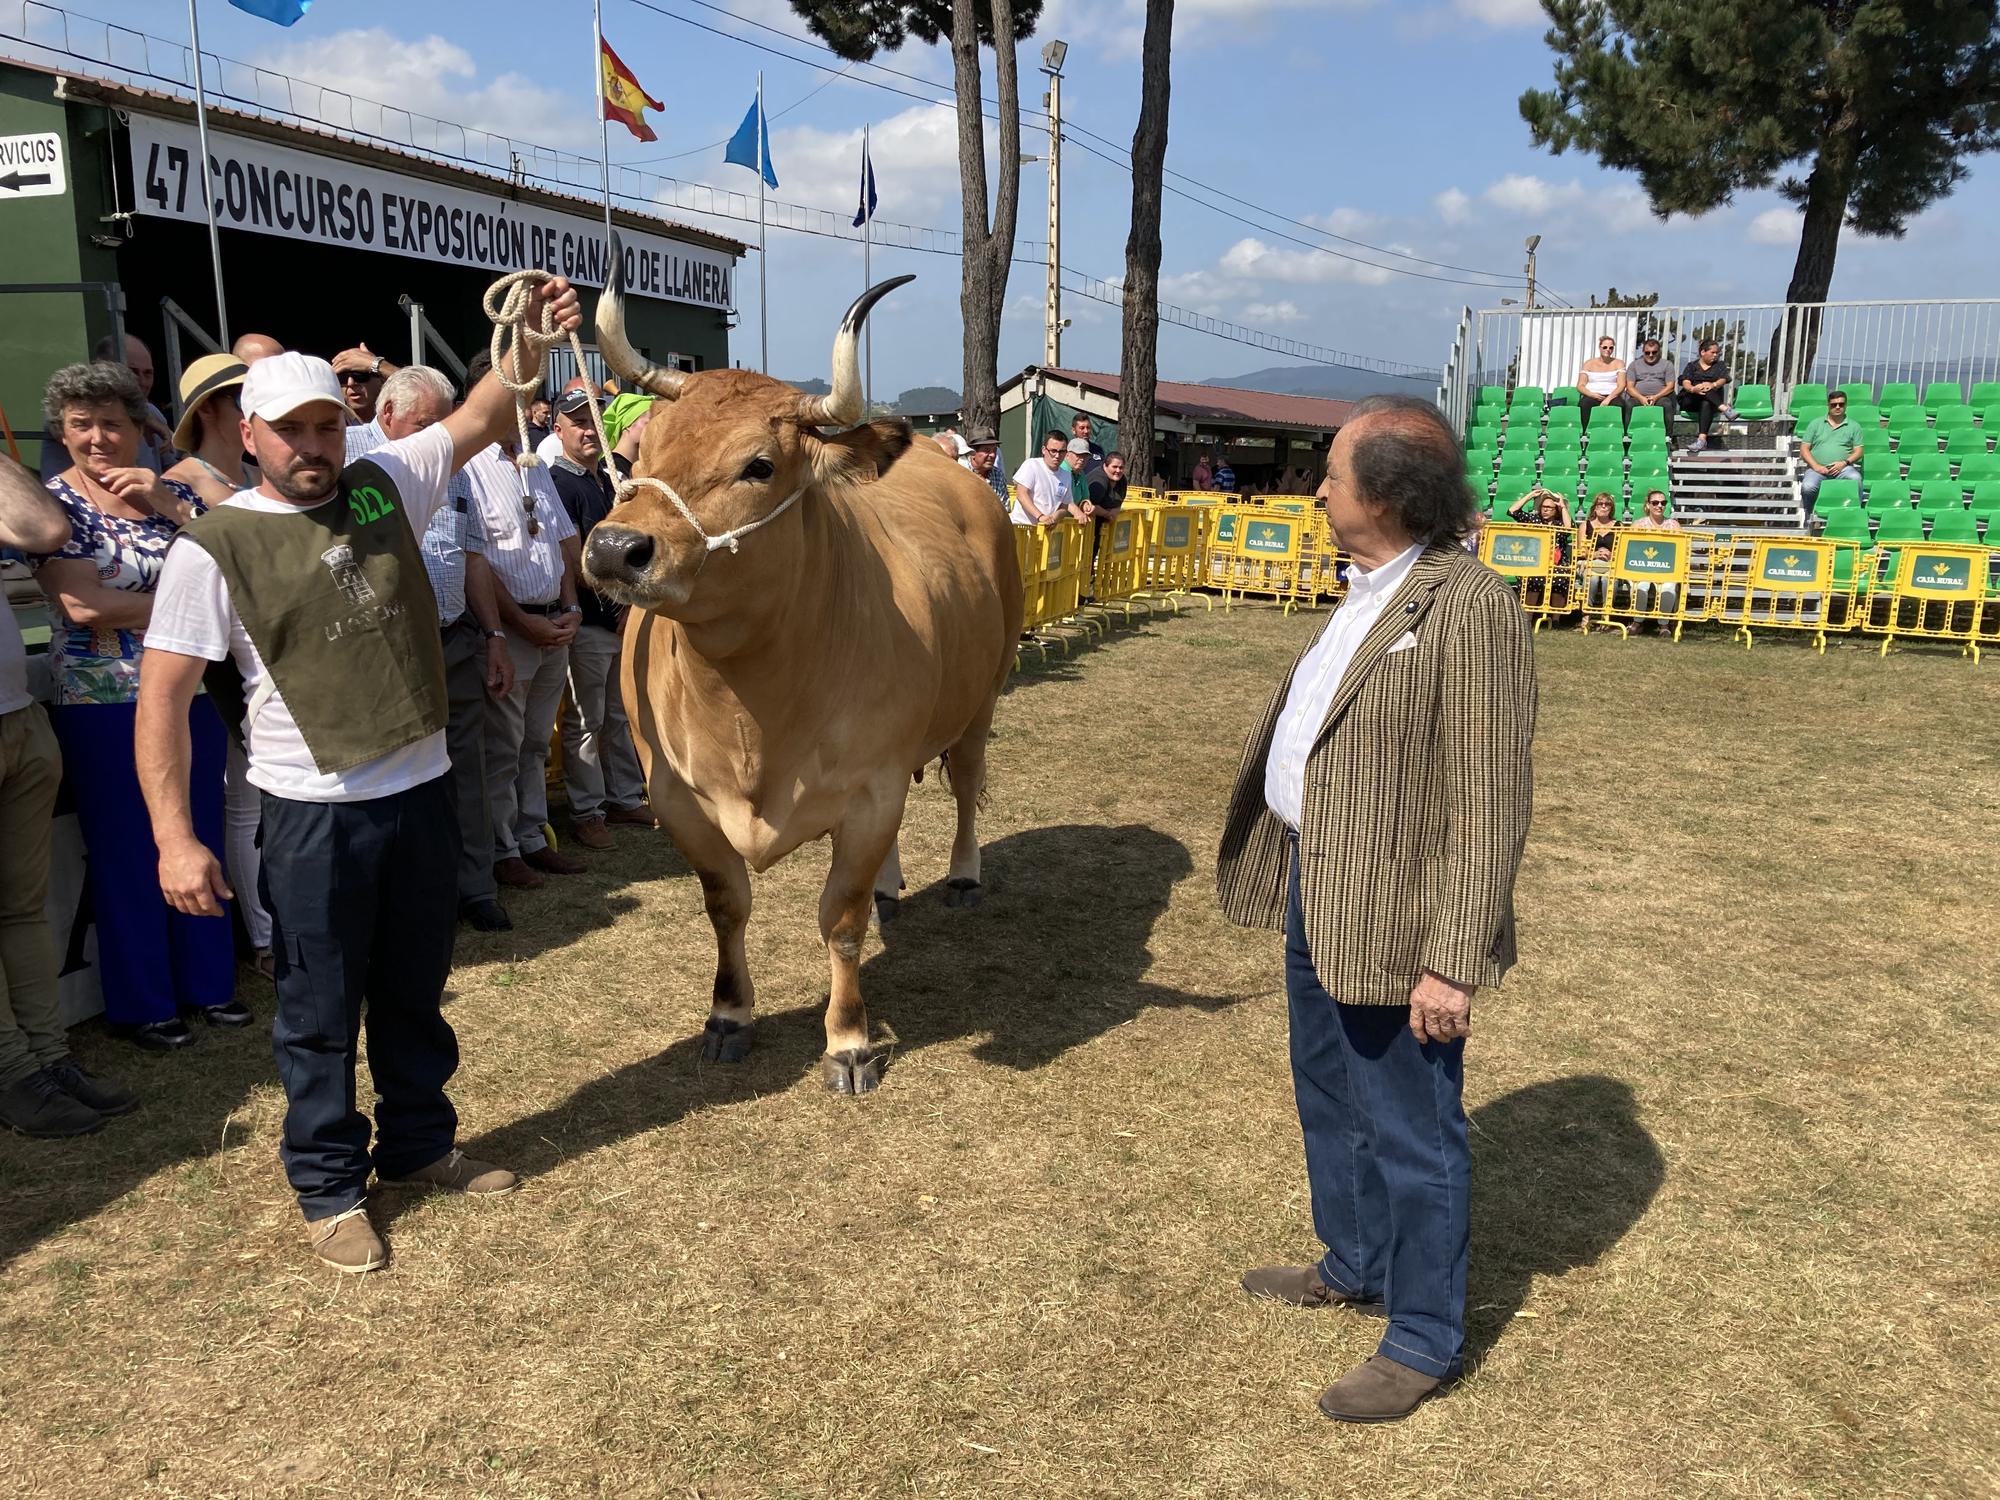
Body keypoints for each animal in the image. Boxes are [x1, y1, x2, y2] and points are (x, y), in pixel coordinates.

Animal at [580, 244, 1016, 1096]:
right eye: (641, 452)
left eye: (758, 465)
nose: (615, 549)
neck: (748, 702)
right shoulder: (676, 799)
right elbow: (728, 905)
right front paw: (728, 1016)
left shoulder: (872, 790)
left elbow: (839, 920)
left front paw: (848, 1041)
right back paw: (895, 886)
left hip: (982, 697)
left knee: (966, 785)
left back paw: (962, 875)